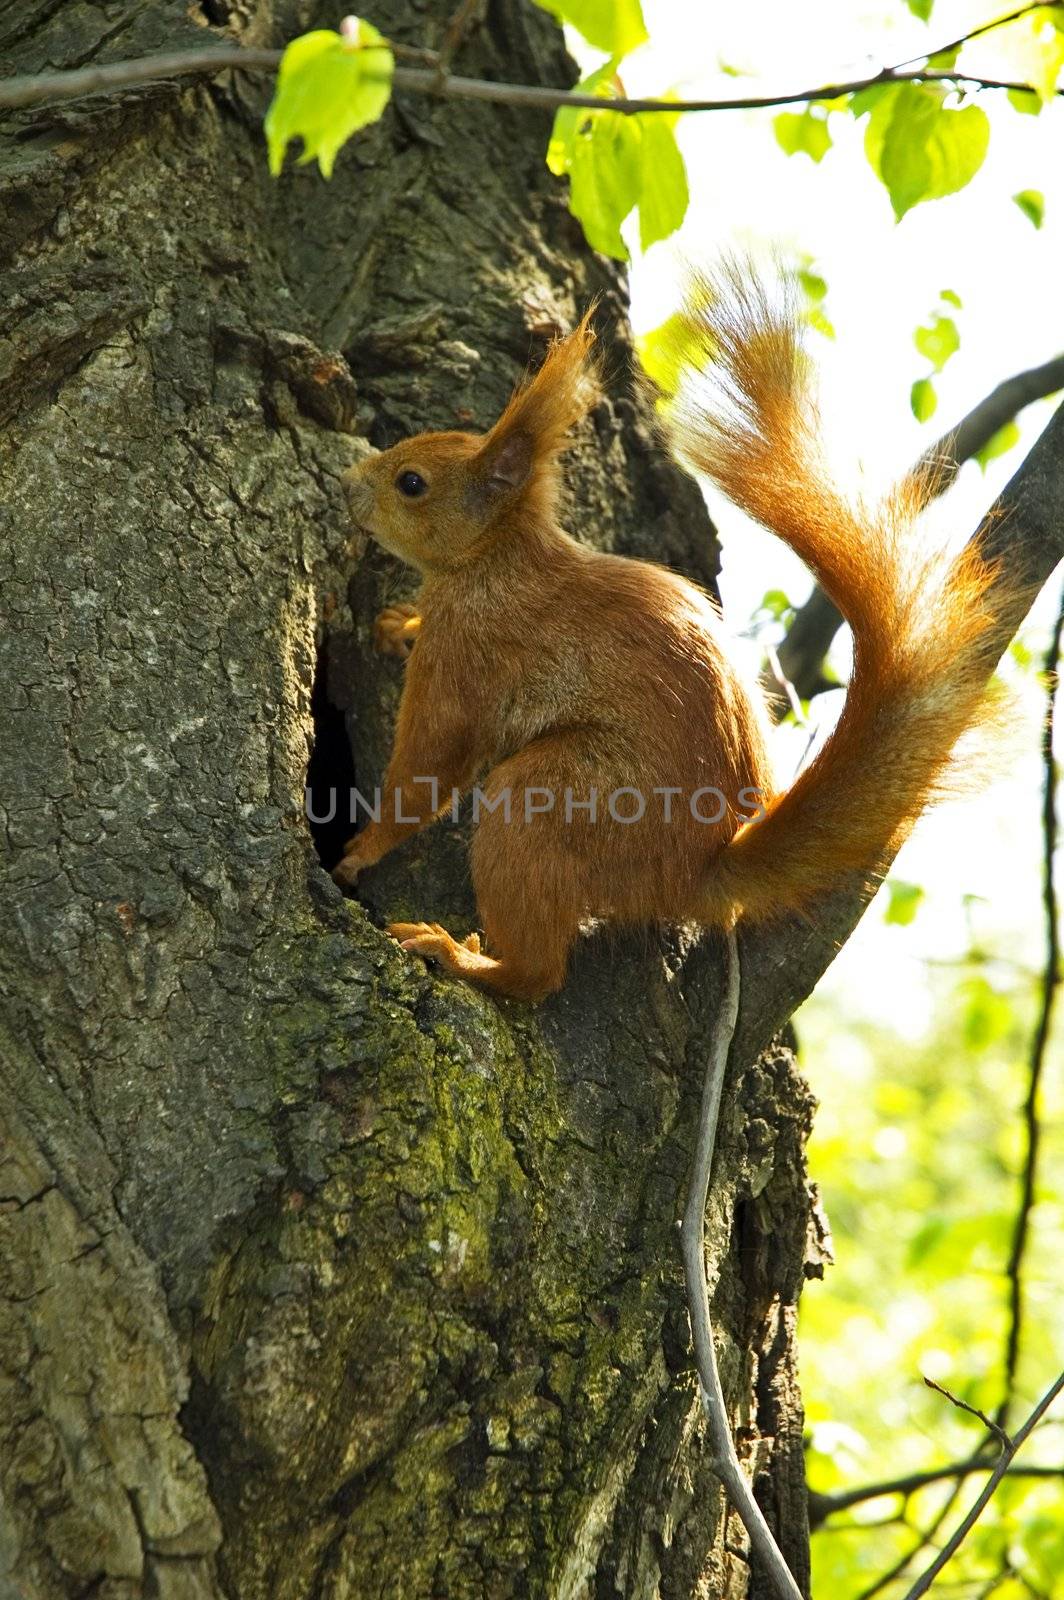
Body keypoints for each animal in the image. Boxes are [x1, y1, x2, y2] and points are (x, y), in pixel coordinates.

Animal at [332, 273, 998, 998]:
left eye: (412, 483)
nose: (347, 484)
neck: (495, 558)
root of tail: (690, 876)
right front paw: (399, 622)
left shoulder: (469, 649)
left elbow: (429, 765)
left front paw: (361, 850)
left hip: (558, 803)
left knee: (539, 972)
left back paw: (464, 956)